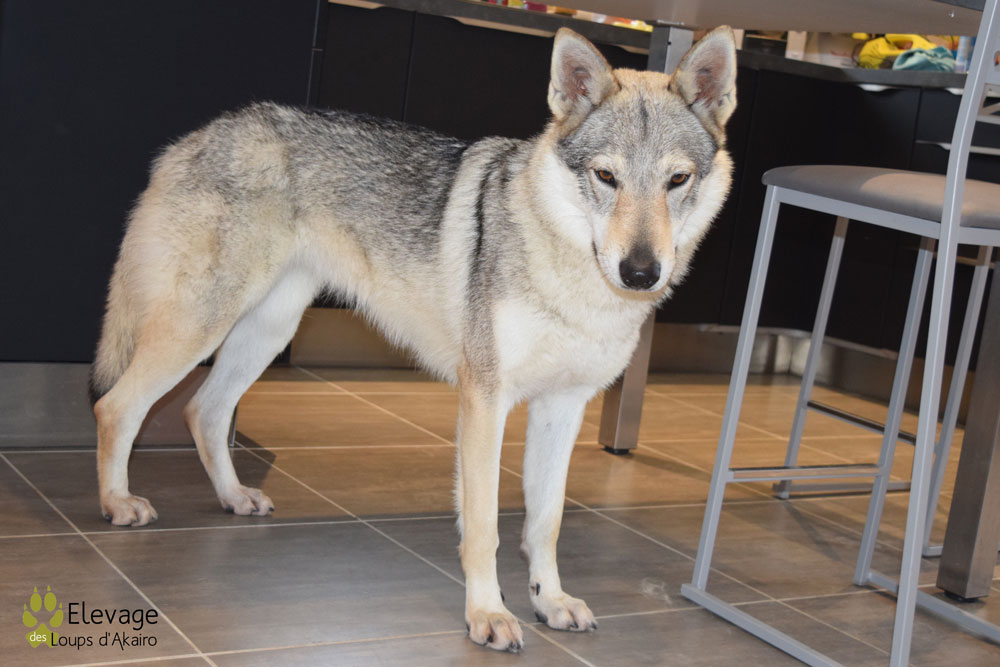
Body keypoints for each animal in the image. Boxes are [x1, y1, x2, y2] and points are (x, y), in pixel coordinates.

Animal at [89, 26, 737, 651]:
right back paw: (118, 504)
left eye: (677, 180)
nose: (641, 273)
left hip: (266, 332)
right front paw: (488, 615)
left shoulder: (563, 408)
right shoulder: (485, 402)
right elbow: (484, 527)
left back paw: (233, 497)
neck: (567, 268)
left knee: (203, 410)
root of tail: (196, 137)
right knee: (116, 407)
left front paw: (549, 601)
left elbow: (544, 523)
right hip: (200, 328)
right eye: (606, 176)